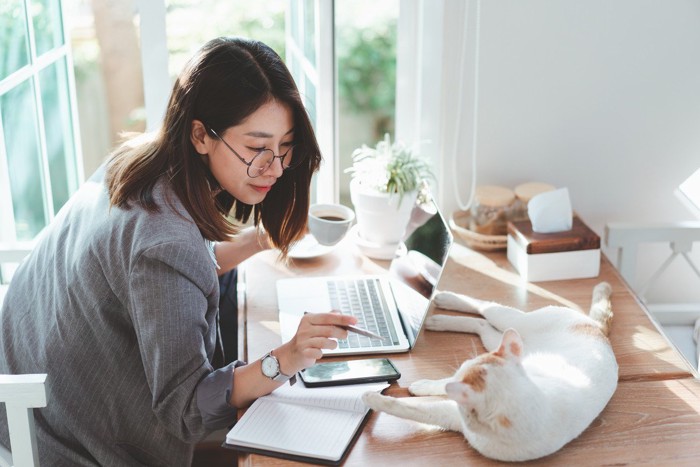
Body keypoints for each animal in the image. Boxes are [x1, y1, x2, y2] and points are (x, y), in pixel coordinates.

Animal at [364, 282, 616, 460]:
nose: (455, 377)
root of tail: (597, 330)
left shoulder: (451, 415)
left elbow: (410, 409)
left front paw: (372, 397)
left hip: (501, 335)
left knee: (482, 322)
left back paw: (440, 318)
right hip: (514, 324)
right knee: (484, 308)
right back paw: (444, 303)